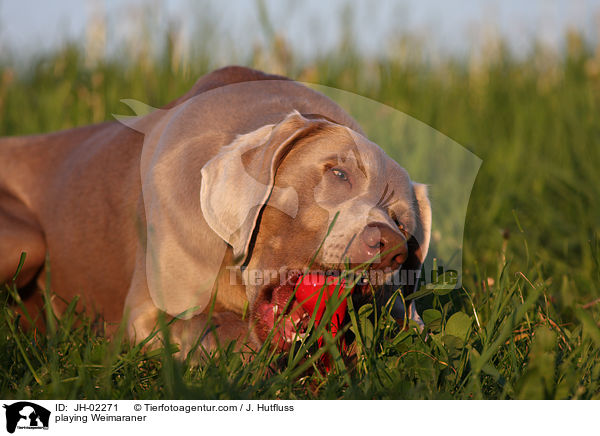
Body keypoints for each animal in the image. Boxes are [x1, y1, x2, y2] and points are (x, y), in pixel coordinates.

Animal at [1, 65, 432, 358]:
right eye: (339, 173)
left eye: (402, 223)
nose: (390, 246)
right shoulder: (146, 316)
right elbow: (217, 327)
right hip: (27, 241)